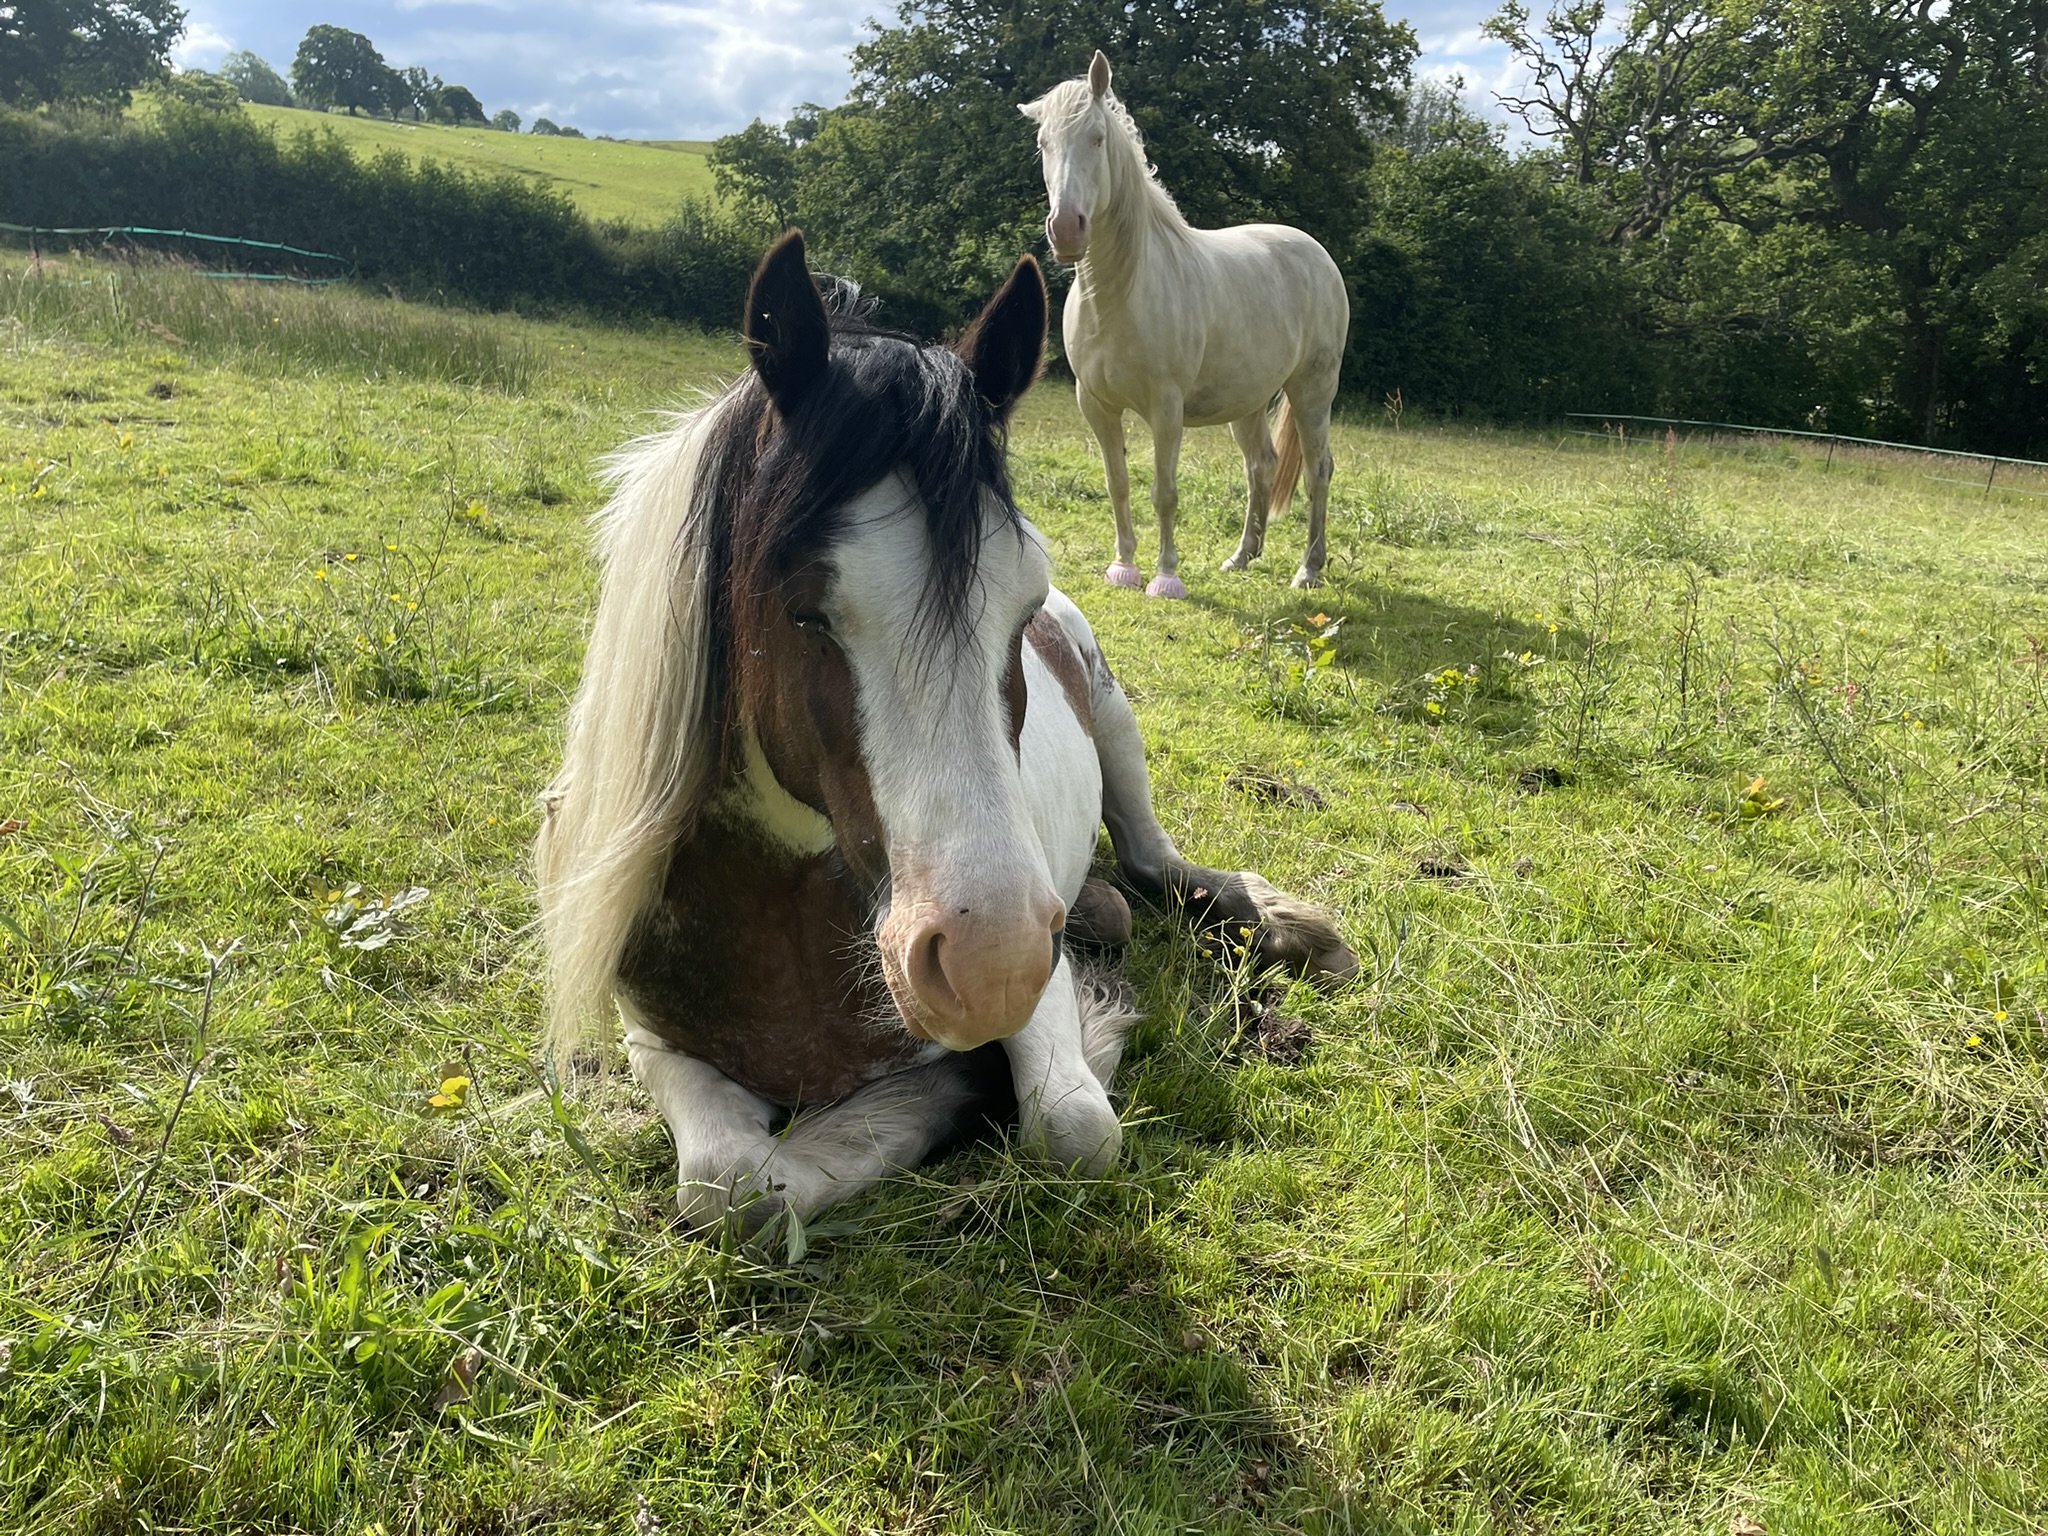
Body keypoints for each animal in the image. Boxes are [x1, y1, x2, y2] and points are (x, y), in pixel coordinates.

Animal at [536, 231, 1357, 1232]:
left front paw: (972, 1083)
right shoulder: (654, 1036)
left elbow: (1074, 1128)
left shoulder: (1041, 986)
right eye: (803, 609)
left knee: (1159, 864)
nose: (988, 964)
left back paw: (1282, 925)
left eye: (1022, 603)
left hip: (1119, 735)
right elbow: (731, 1187)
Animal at [1021, 52, 1351, 598]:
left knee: (1318, 471)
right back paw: (1241, 557)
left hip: (1312, 390)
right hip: (1248, 400)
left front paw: (1165, 575)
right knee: (1260, 466)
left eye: (1097, 137)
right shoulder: (1095, 405)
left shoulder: (1166, 408)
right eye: (1043, 143)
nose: (1066, 230)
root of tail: (1316, 252)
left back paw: (1308, 570)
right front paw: (1123, 566)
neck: (1120, 293)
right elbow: (1117, 483)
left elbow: (1164, 491)